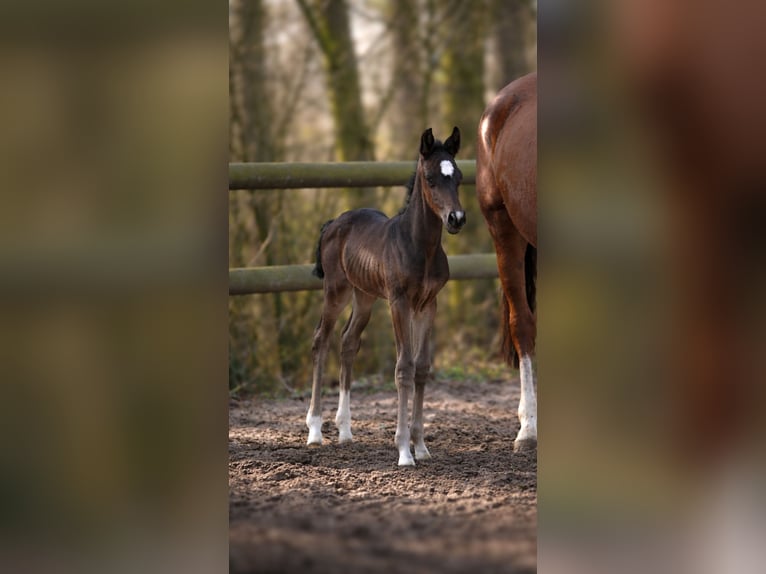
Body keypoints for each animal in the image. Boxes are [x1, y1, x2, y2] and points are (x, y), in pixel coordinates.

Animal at [306, 127, 466, 466]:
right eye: (430, 178)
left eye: (458, 176)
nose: (456, 219)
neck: (420, 246)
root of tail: (333, 223)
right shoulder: (399, 302)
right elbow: (403, 367)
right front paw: (404, 450)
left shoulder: (428, 304)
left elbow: (421, 367)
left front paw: (421, 446)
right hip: (336, 291)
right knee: (321, 341)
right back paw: (314, 430)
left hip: (364, 296)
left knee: (348, 342)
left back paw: (345, 430)